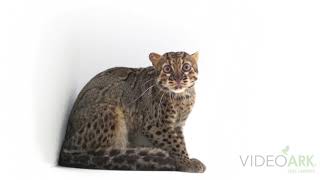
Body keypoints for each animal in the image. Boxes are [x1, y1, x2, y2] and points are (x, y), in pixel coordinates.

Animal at [58, 51, 205, 172]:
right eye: (167, 68)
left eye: (186, 67)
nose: (178, 78)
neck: (182, 99)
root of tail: (65, 145)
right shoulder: (156, 125)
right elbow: (175, 144)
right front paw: (186, 162)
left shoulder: (177, 124)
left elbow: (180, 141)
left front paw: (186, 159)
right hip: (109, 110)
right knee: (99, 153)